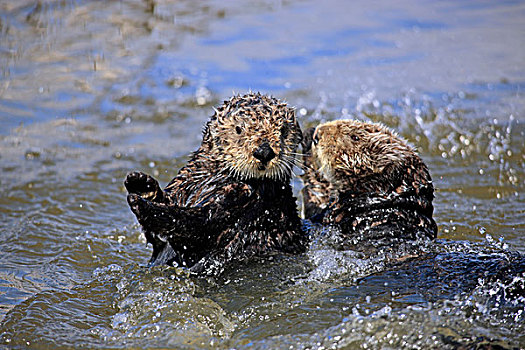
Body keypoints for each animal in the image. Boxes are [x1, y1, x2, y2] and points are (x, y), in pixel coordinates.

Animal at [124, 94, 304, 274]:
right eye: (239, 129)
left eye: (283, 130)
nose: (264, 152)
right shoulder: (183, 186)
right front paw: (141, 184)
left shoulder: (242, 204)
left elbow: (194, 226)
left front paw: (141, 204)